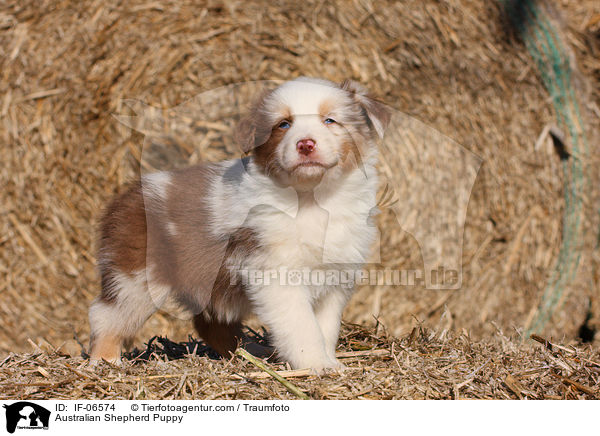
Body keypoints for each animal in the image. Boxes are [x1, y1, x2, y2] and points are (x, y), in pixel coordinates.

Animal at [88, 77, 390, 372]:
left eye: (330, 120)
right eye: (283, 124)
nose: (305, 144)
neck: (311, 198)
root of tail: (124, 196)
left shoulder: (335, 276)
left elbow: (325, 327)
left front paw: (329, 362)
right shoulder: (275, 274)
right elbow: (302, 326)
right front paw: (315, 364)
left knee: (210, 324)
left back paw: (251, 352)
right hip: (136, 276)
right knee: (106, 314)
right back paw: (105, 361)